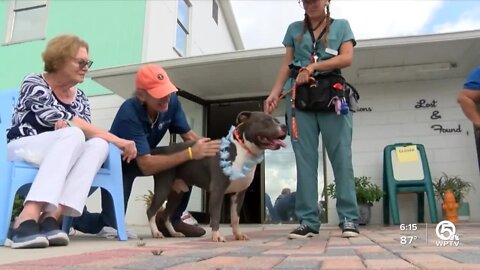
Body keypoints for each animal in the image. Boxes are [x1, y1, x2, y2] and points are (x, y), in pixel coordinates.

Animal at [148, 110, 286, 242]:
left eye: (277, 120)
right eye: (266, 120)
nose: (284, 126)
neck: (242, 149)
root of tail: (161, 150)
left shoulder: (239, 194)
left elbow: (235, 218)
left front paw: (238, 234)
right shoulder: (217, 190)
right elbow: (216, 215)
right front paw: (217, 236)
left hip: (177, 193)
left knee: (166, 216)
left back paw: (174, 233)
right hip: (163, 188)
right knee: (151, 211)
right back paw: (156, 233)